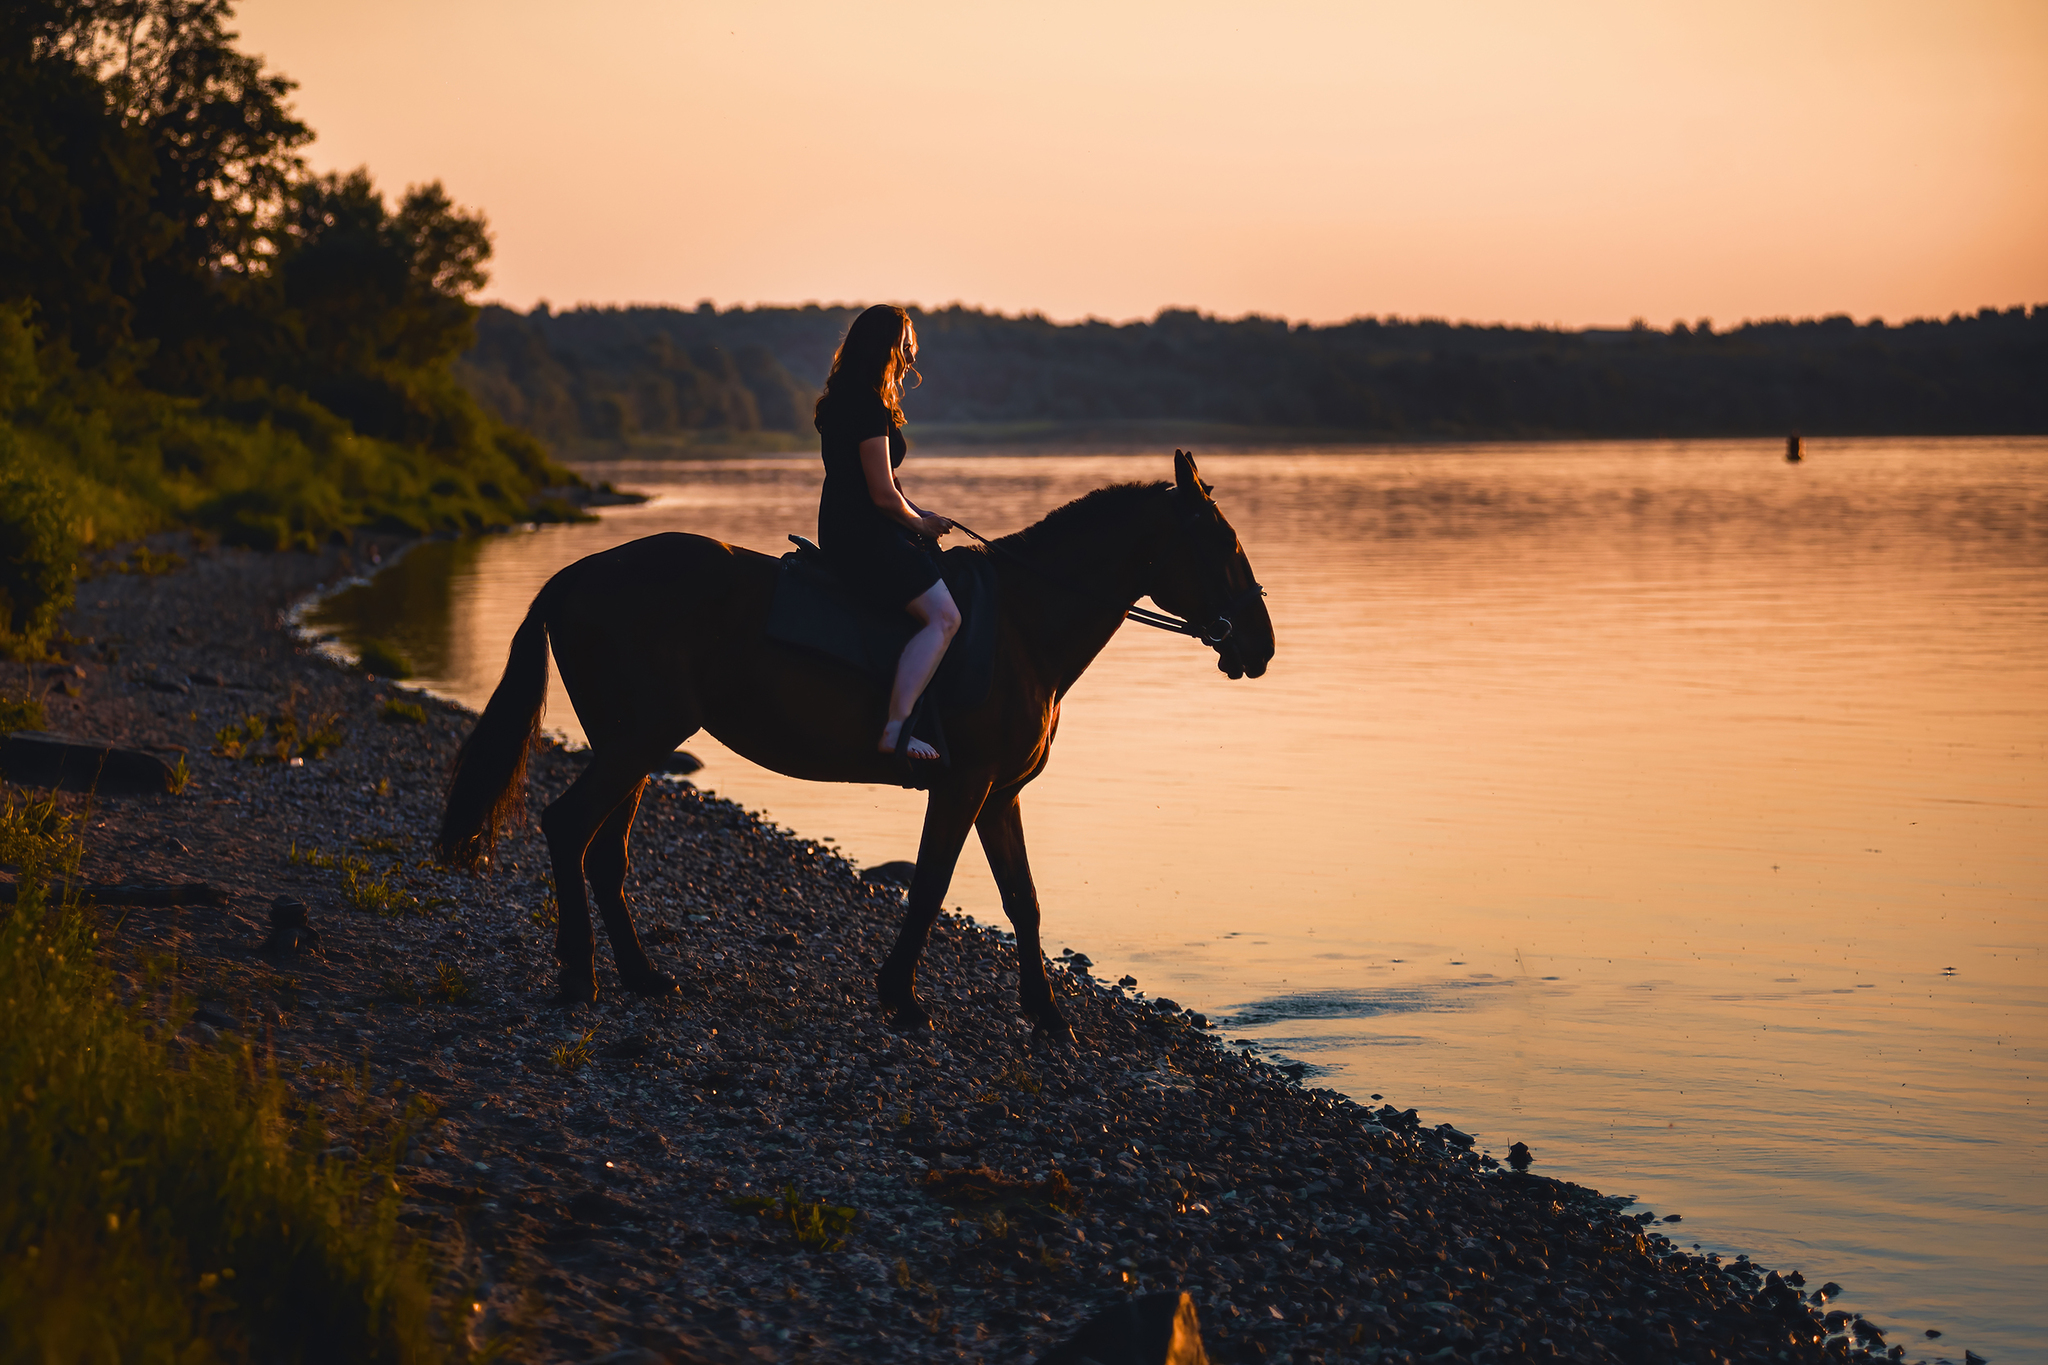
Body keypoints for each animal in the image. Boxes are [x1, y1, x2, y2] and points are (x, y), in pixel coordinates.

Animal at [434, 454, 1269, 1039]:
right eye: (1223, 543)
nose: (1259, 645)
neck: (1022, 624)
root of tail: (578, 572)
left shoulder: (1000, 794)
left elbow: (1023, 900)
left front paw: (1049, 1015)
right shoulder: (963, 785)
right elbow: (930, 887)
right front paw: (902, 997)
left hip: (635, 744)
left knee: (605, 852)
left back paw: (642, 975)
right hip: (635, 739)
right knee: (568, 829)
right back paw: (581, 976)